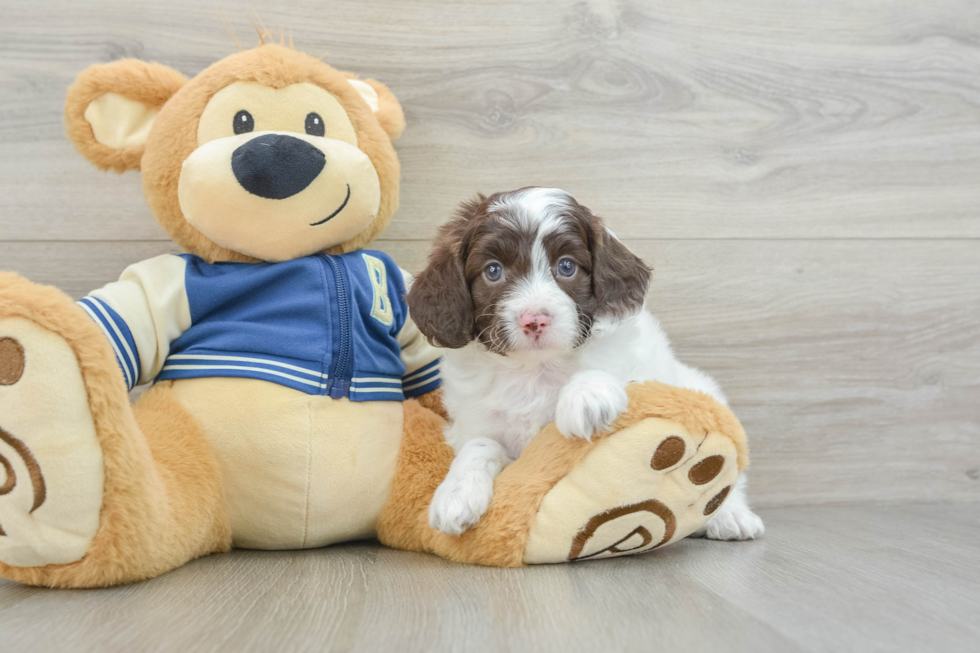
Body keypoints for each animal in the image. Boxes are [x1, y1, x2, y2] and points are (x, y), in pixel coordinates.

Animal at [408, 187, 764, 540]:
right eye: (493, 271)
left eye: (566, 267)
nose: (534, 320)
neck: (536, 369)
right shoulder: (476, 426)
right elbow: (480, 445)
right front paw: (456, 495)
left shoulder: (646, 375)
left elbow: (608, 374)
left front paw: (586, 399)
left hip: (701, 387)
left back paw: (730, 515)